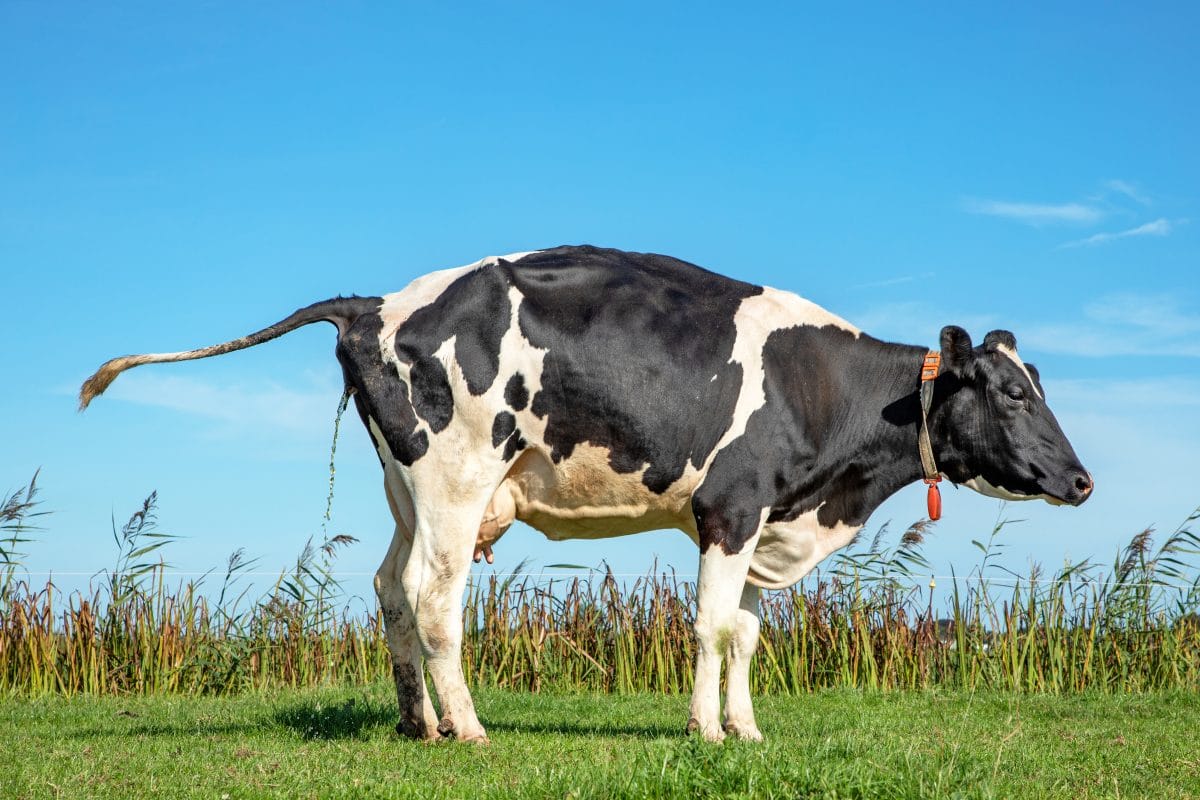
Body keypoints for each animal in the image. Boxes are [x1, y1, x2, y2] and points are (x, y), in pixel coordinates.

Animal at [72, 245, 1089, 743]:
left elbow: (749, 635)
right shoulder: (729, 510)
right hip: (454, 477)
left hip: (406, 487)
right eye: (1010, 392)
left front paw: (749, 729)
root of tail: (377, 302)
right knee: (435, 599)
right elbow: (711, 629)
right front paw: (705, 732)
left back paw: (416, 724)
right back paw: (470, 729)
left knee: (391, 591)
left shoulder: (767, 520)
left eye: (1037, 383)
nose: (1082, 480)